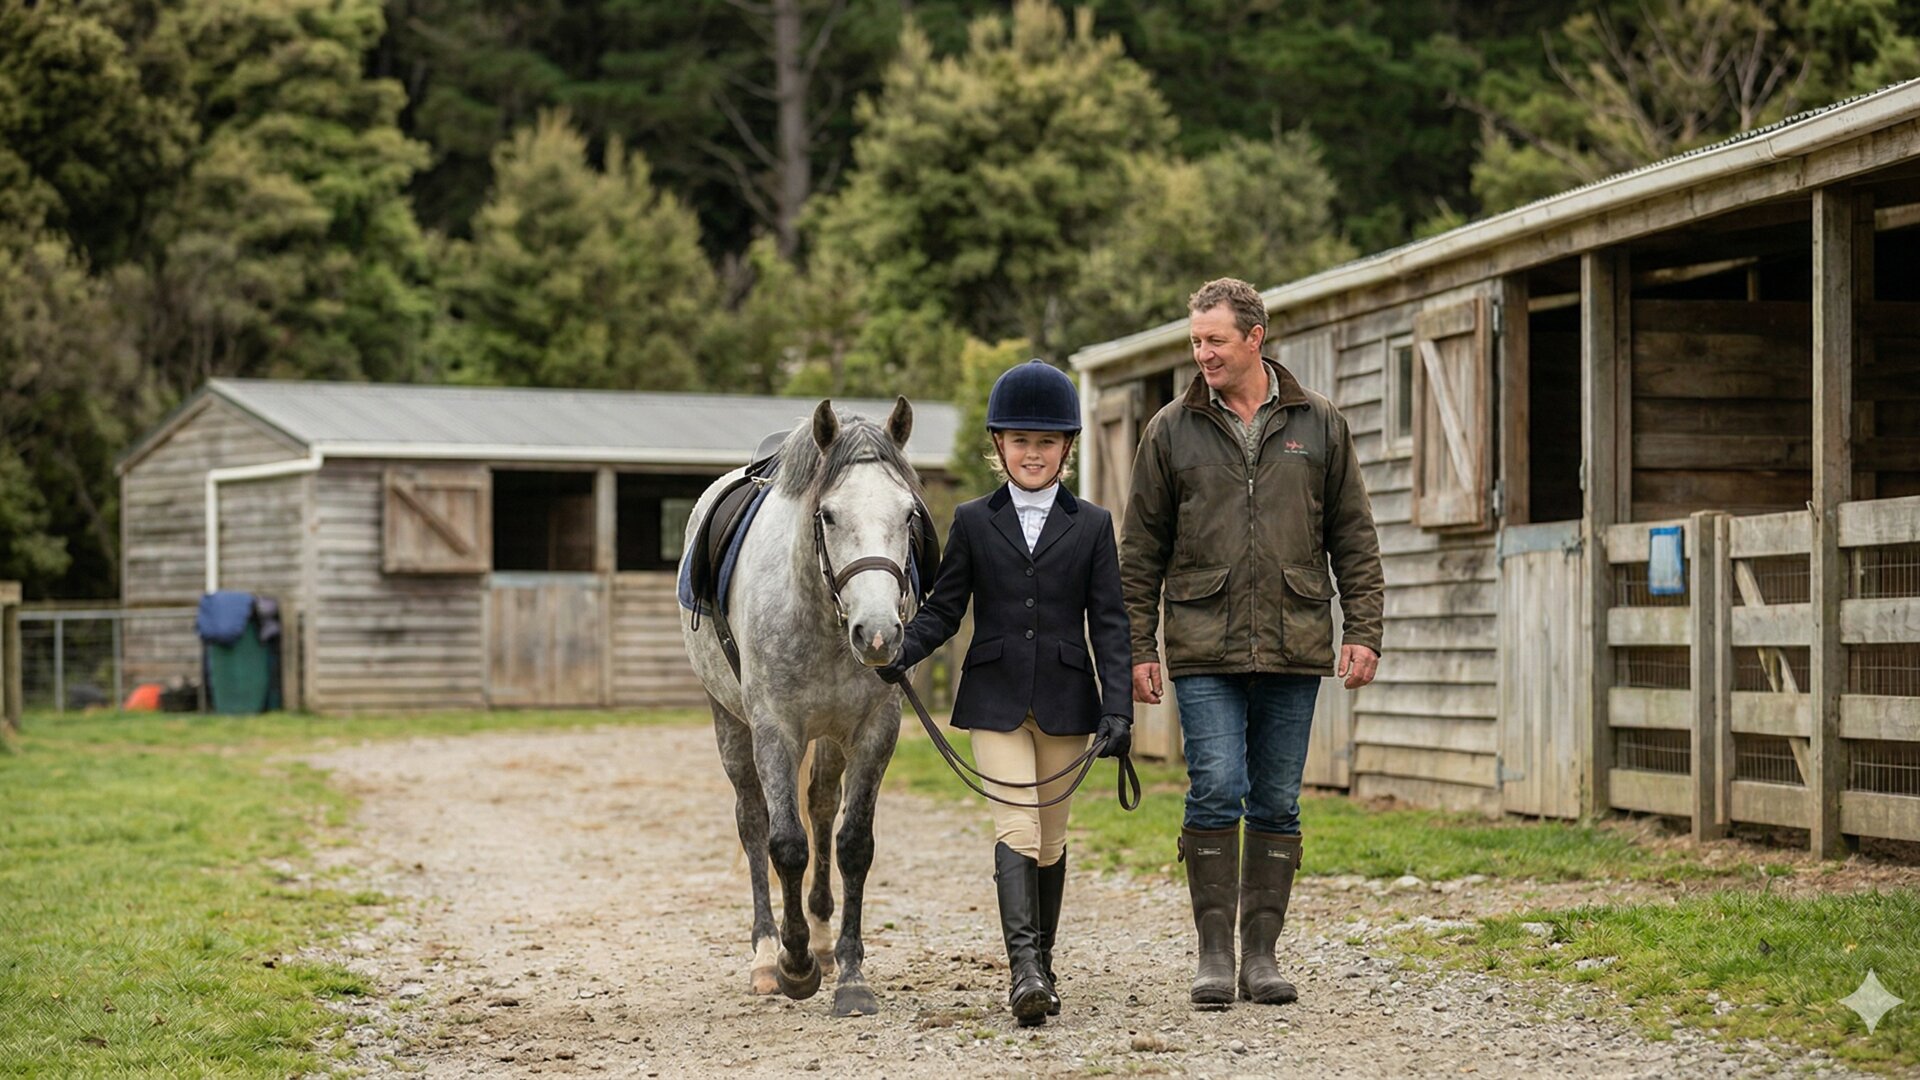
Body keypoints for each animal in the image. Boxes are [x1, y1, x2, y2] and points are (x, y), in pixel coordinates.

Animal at [681, 397, 924, 1018]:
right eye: (829, 515)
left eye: (910, 514)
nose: (878, 634)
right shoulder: (775, 730)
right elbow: (784, 844)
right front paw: (793, 966)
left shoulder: (875, 731)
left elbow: (853, 844)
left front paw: (851, 974)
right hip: (730, 722)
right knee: (753, 820)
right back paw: (768, 955)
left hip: (831, 735)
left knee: (820, 806)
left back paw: (820, 937)